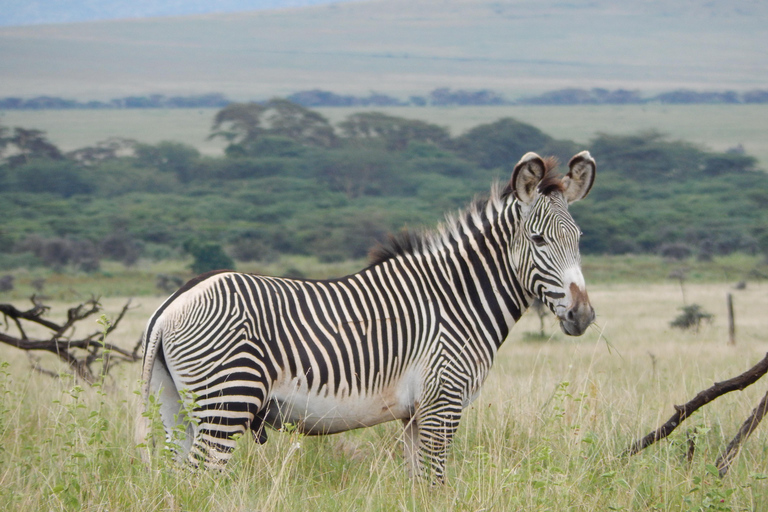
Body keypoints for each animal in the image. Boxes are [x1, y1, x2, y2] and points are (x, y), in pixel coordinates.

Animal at [138, 150, 596, 482]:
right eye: (538, 240)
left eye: (579, 239)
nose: (583, 315)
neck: (457, 299)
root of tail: (173, 304)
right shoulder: (443, 402)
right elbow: (436, 484)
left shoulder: (416, 413)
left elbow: (419, 485)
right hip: (226, 402)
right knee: (198, 482)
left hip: (176, 408)